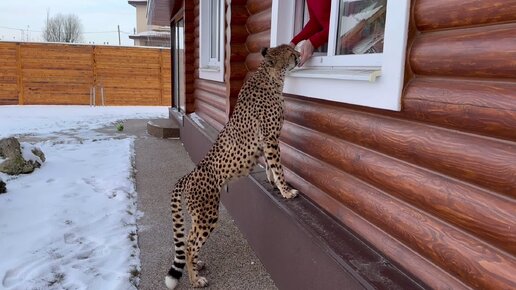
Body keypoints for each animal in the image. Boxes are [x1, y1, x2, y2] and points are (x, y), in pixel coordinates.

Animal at [165, 44, 302, 288]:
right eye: (290, 52)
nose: (301, 55)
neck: (270, 75)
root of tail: (190, 175)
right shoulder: (270, 138)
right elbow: (278, 167)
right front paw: (287, 191)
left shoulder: (267, 142)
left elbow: (270, 166)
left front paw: (274, 184)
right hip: (207, 214)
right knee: (189, 245)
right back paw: (195, 280)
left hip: (199, 215)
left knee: (189, 239)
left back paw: (198, 265)